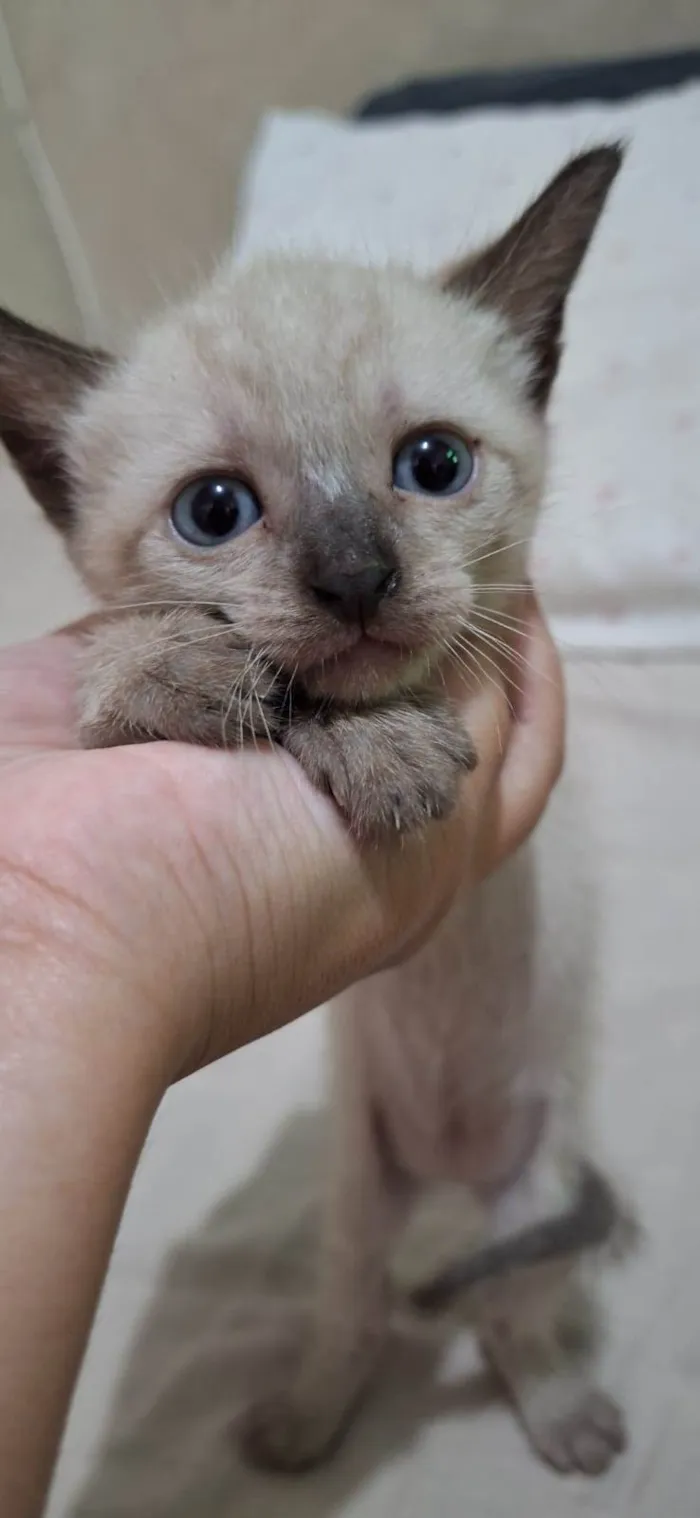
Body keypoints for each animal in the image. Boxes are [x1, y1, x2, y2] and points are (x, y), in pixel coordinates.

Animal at [1, 142, 631, 1469]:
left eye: (434, 466)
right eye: (215, 512)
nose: (354, 580)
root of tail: (449, 1176)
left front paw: (383, 742)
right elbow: (131, 678)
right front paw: (204, 676)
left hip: (536, 1183)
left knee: (507, 1309)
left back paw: (561, 1416)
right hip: (356, 1187)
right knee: (358, 1310)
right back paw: (300, 1429)